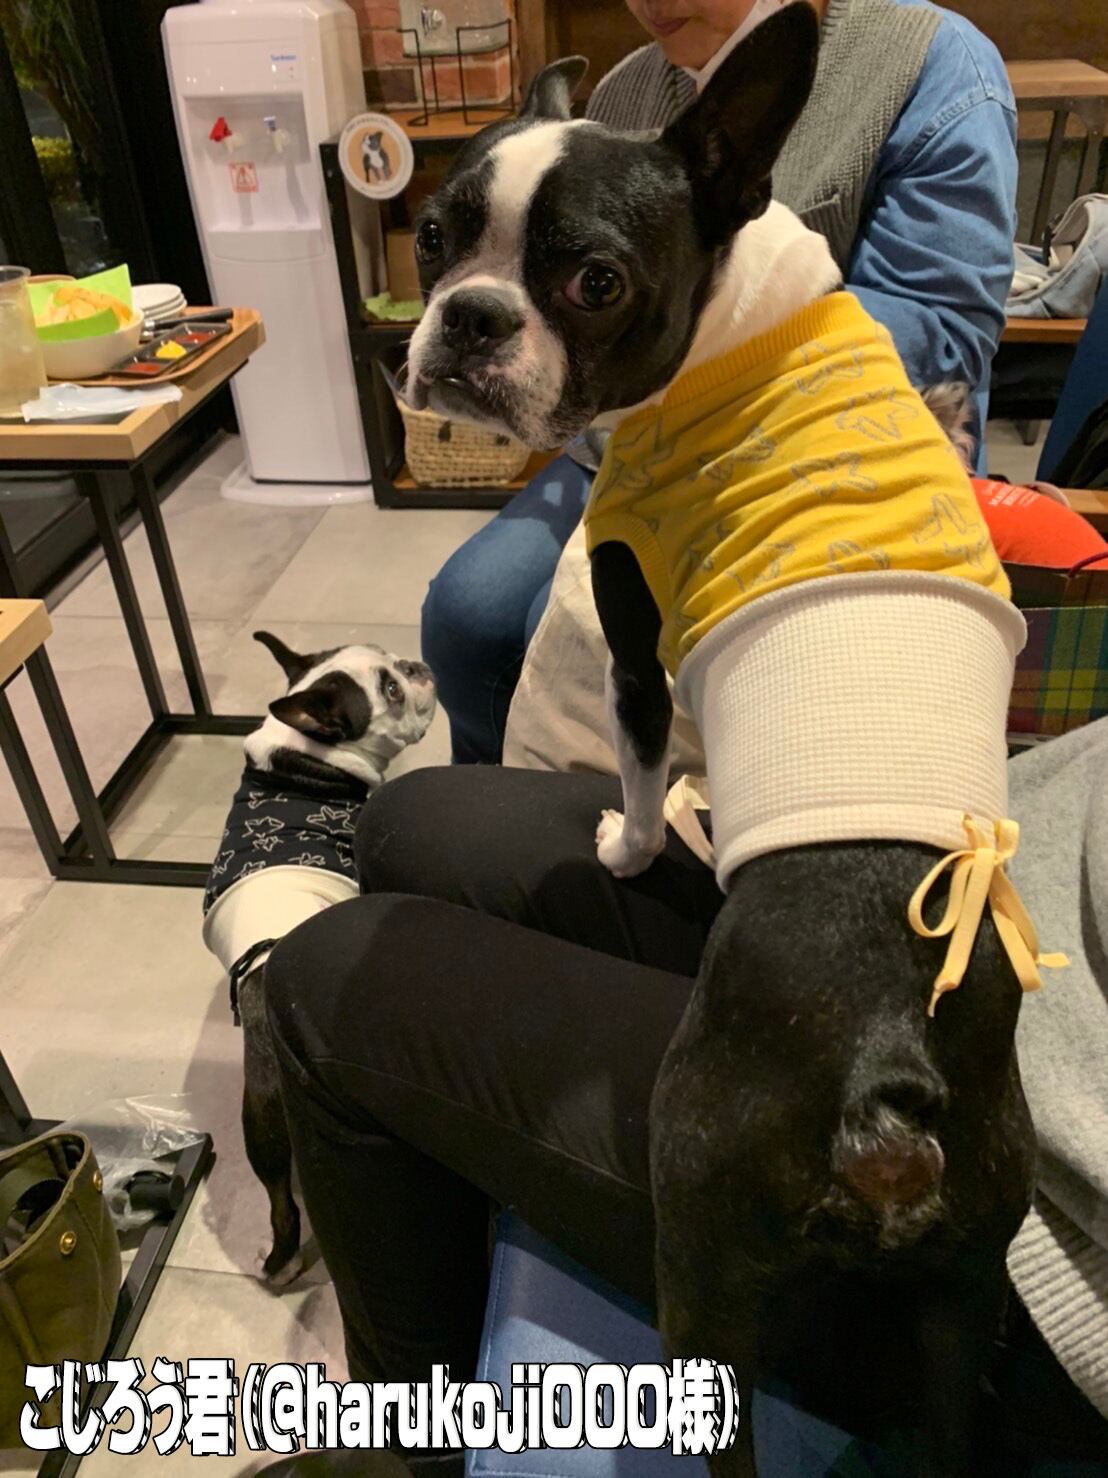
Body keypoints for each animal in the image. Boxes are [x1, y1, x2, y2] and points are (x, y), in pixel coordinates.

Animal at [203, 631, 435, 1285]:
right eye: (389, 690)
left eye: (392, 664)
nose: (415, 665)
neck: (309, 759)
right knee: (285, 1209)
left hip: (259, 1127)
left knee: (278, 1197)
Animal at [404, 11, 1062, 1472]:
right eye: (430, 237)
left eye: (590, 280)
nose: (468, 317)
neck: (735, 323)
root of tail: (886, 1071)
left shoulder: (638, 622)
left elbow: (650, 761)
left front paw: (632, 838)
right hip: (964, 1291)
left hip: (698, 1252)